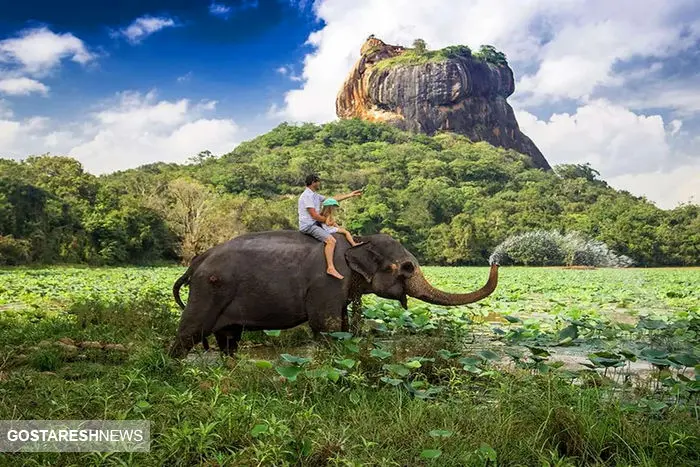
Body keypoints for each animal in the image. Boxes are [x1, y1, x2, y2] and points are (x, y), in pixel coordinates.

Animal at [168, 231, 498, 358]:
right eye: (406, 268)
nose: (495, 260)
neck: (357, 242)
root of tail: (197, 261)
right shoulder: (327, 282)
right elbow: (325, 326)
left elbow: (340, 325)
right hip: (208, 290)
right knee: (188, 333)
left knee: (229, 340)